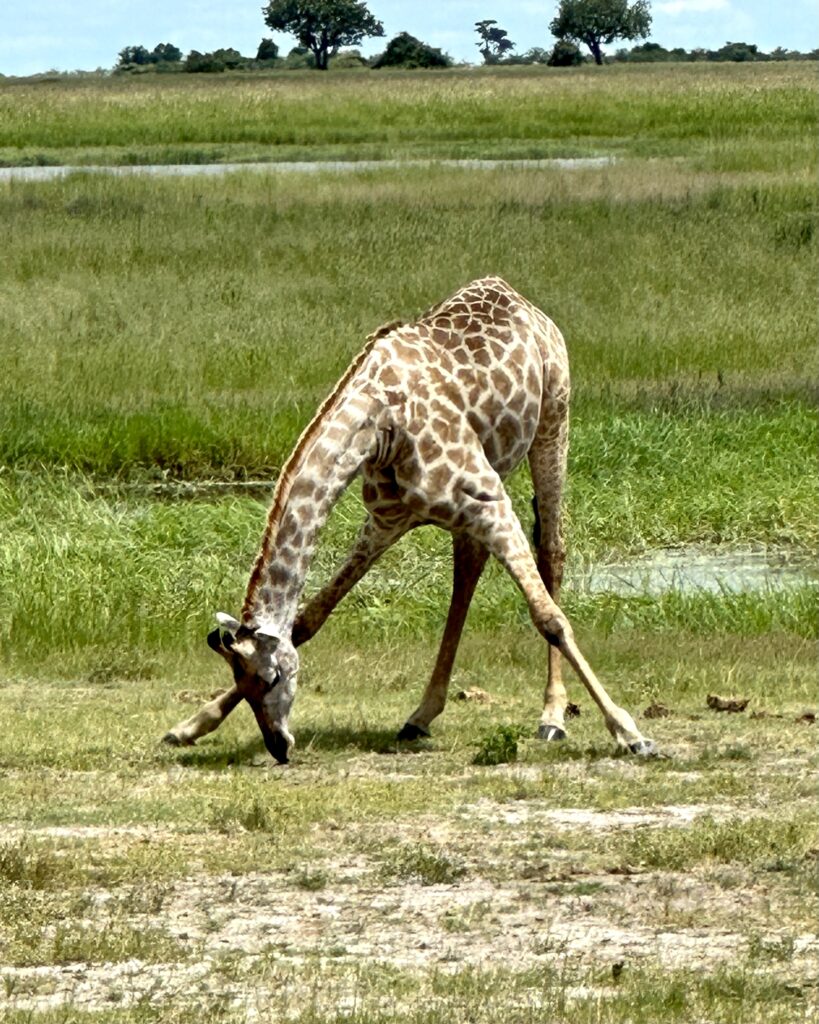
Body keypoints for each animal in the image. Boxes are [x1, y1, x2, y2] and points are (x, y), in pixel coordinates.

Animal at [162, 278, 655, 761]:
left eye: (273, 678)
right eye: (242, 682)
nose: (279, 746)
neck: (378, 425)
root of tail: (521, 299)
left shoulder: (490, 500)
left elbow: (549, 618)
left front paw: (630, 733)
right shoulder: (387, 519)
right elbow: (307, 619)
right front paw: (190, 725)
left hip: (554, 420)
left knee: (551, 551)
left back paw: (551, 717)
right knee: (469, 568)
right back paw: (421, 714)